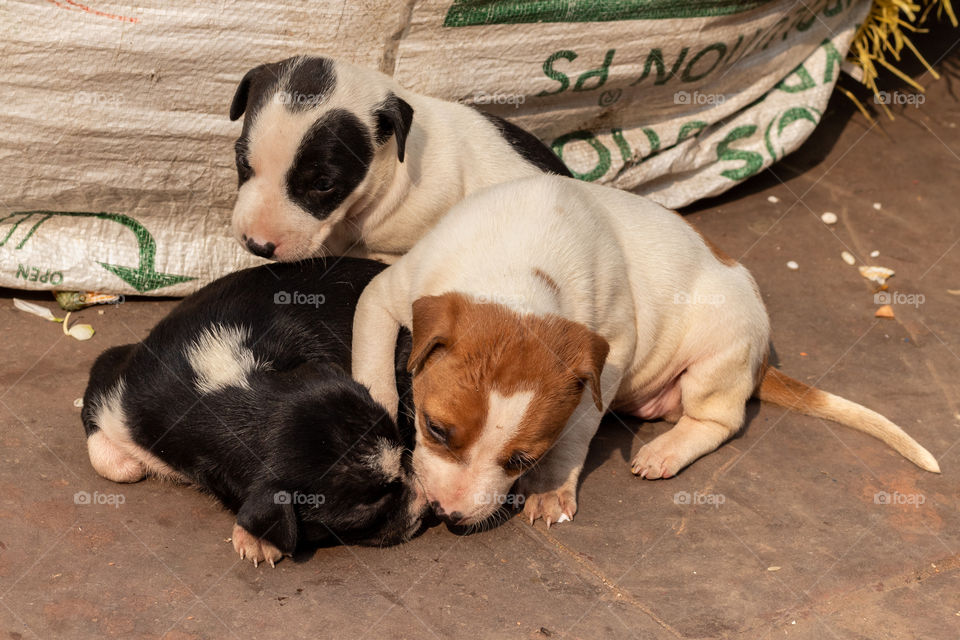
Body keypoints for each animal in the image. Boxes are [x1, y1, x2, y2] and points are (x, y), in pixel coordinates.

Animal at [82, 255, 424, 564]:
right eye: (370, 505)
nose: (426, 506)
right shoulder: (117, 381)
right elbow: (111, 458)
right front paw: (130, 463)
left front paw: (256, 540)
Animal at [350, 174, 936, 524]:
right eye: (436, 430)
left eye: (523, 458)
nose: (448, 513)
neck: (519, 271)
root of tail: (764, 355)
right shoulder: (386, 293)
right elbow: (372, 364)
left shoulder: (609, 358)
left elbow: (577, 433)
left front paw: (553, 487)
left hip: (719, 356)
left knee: (721, 420)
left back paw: (665, 451)